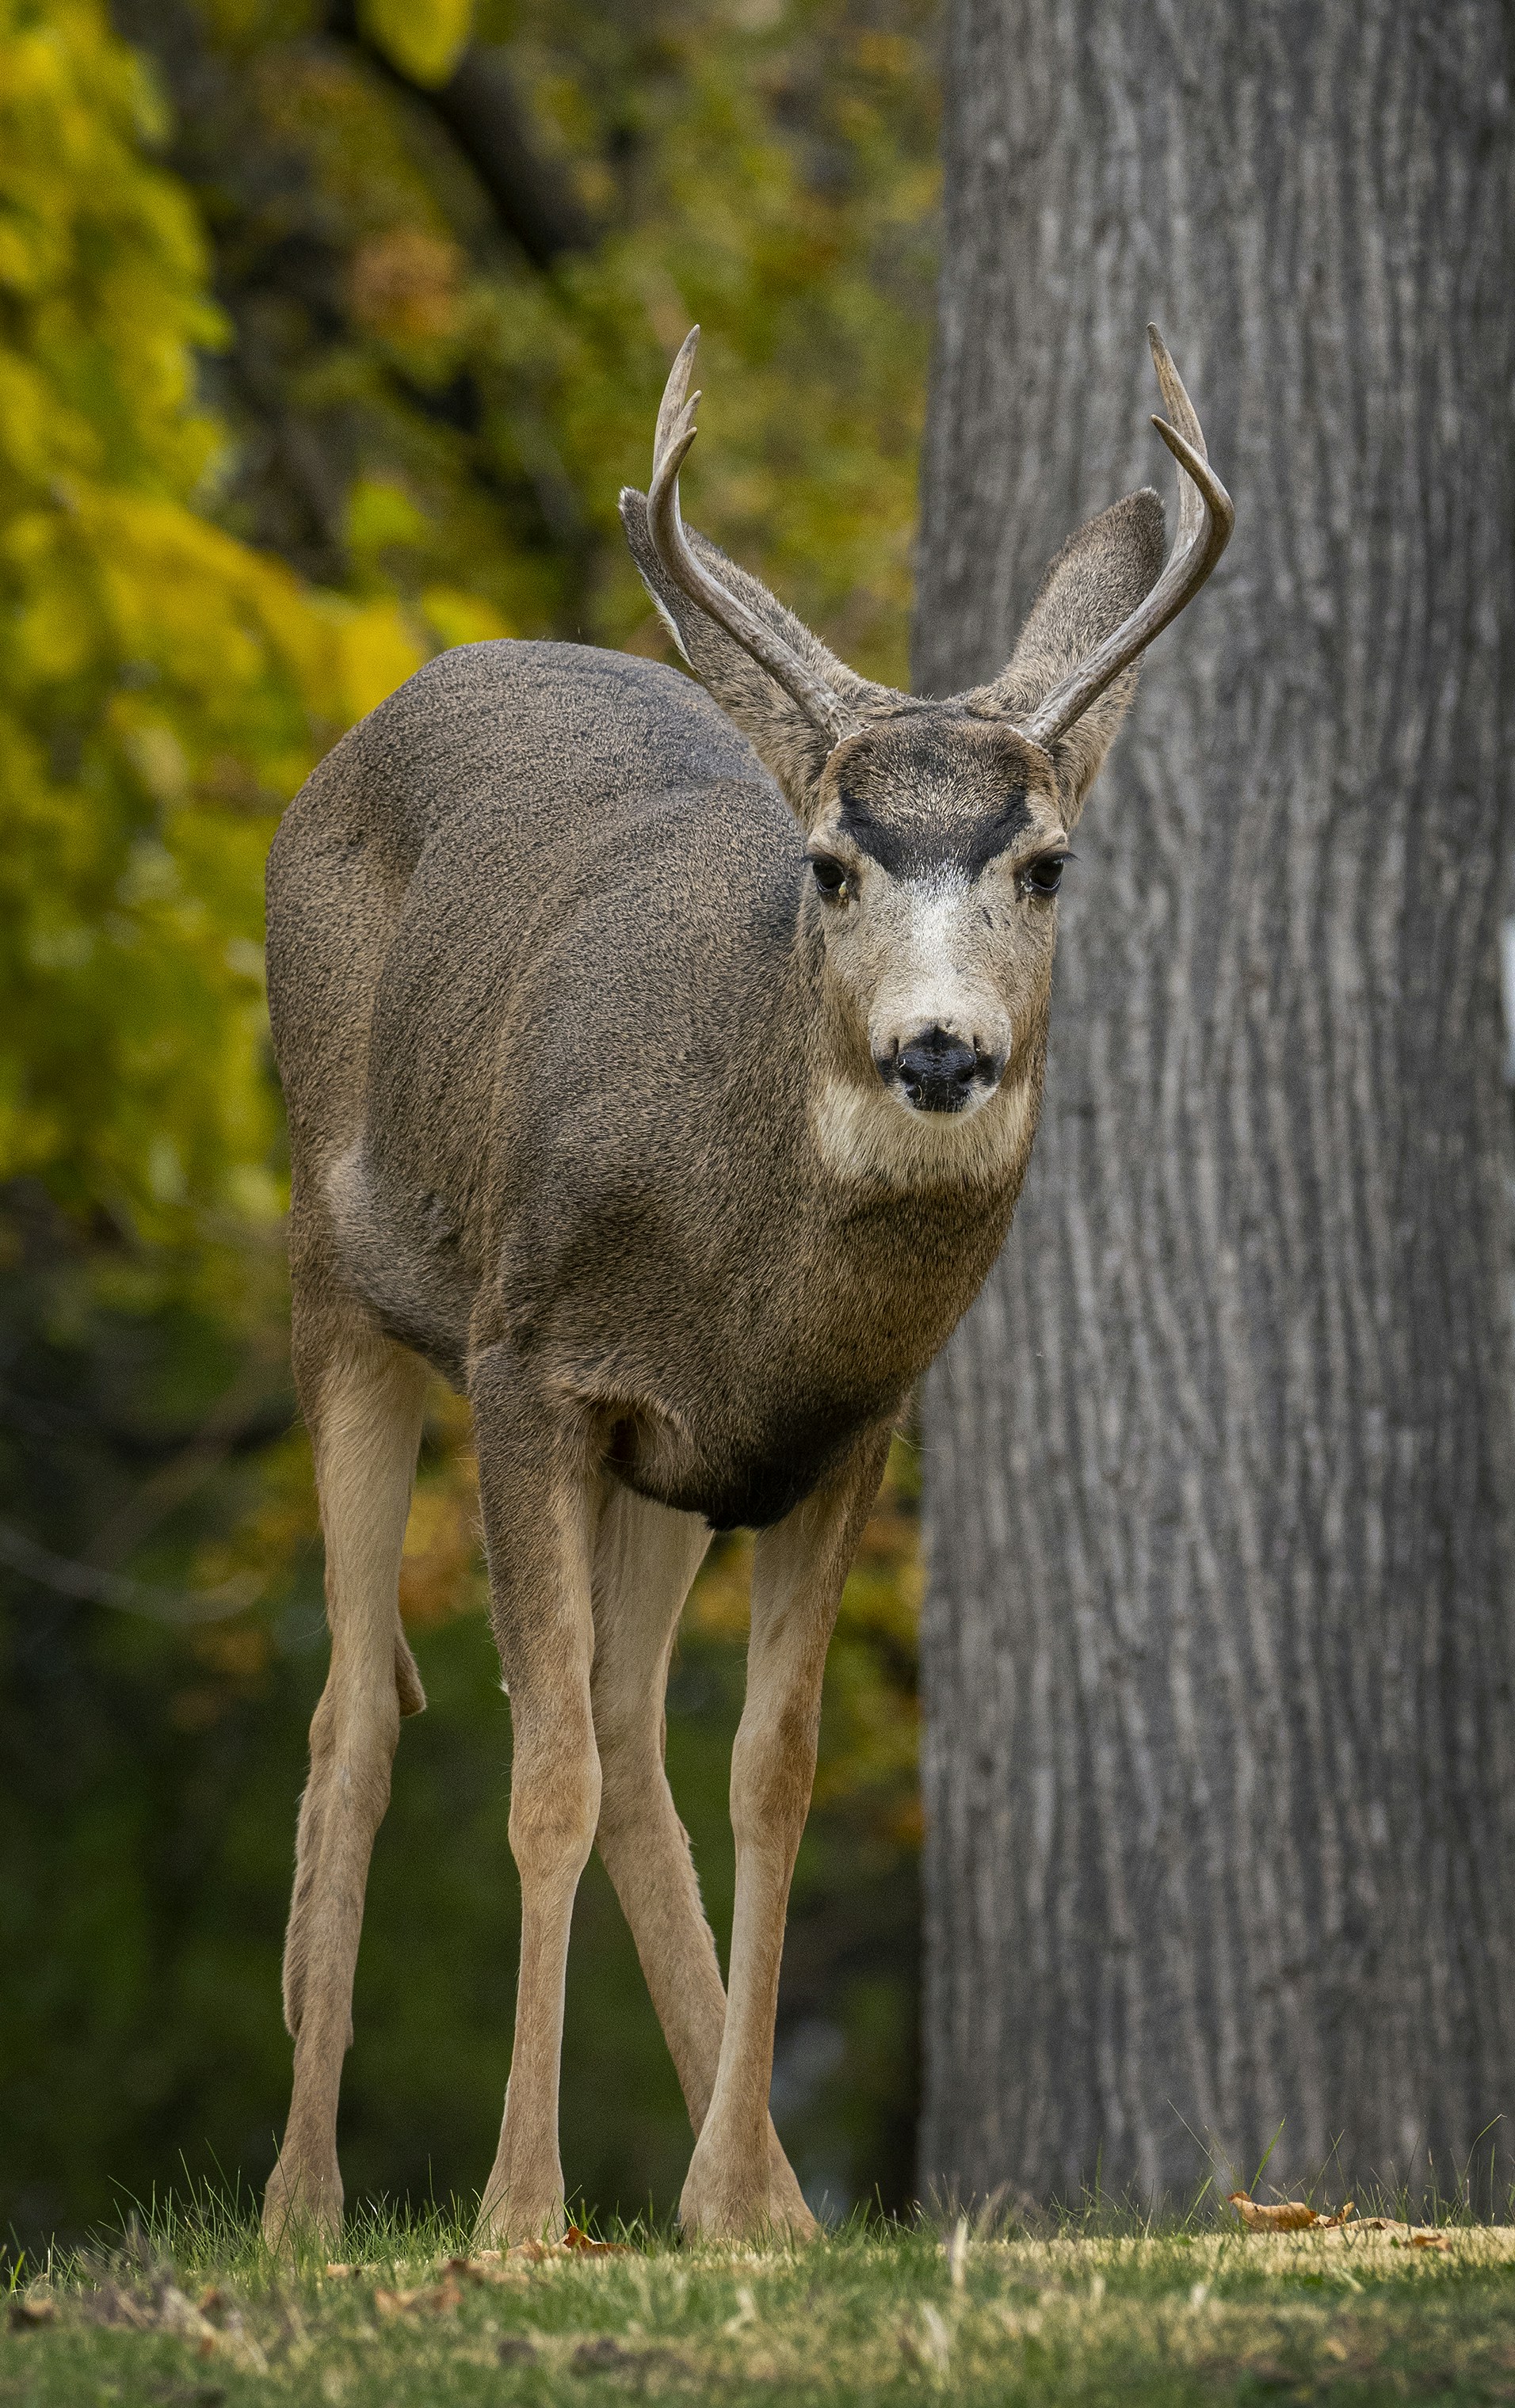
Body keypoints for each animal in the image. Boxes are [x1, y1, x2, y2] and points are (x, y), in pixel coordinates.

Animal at [260, 325, 1228, 2254]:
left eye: (1046, 862)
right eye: (833, 865)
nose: (939, 1048)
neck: (743, 1267)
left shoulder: (836, 1430)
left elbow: (764, 1775)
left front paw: (723, 2204)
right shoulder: (532, 1362)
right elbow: (539, 1770)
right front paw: (517, 2216)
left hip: (661, 1473)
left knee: (635, 1739)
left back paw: (770, 2198)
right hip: (343, 1282)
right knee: (362, 1707)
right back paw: (301, 2206)